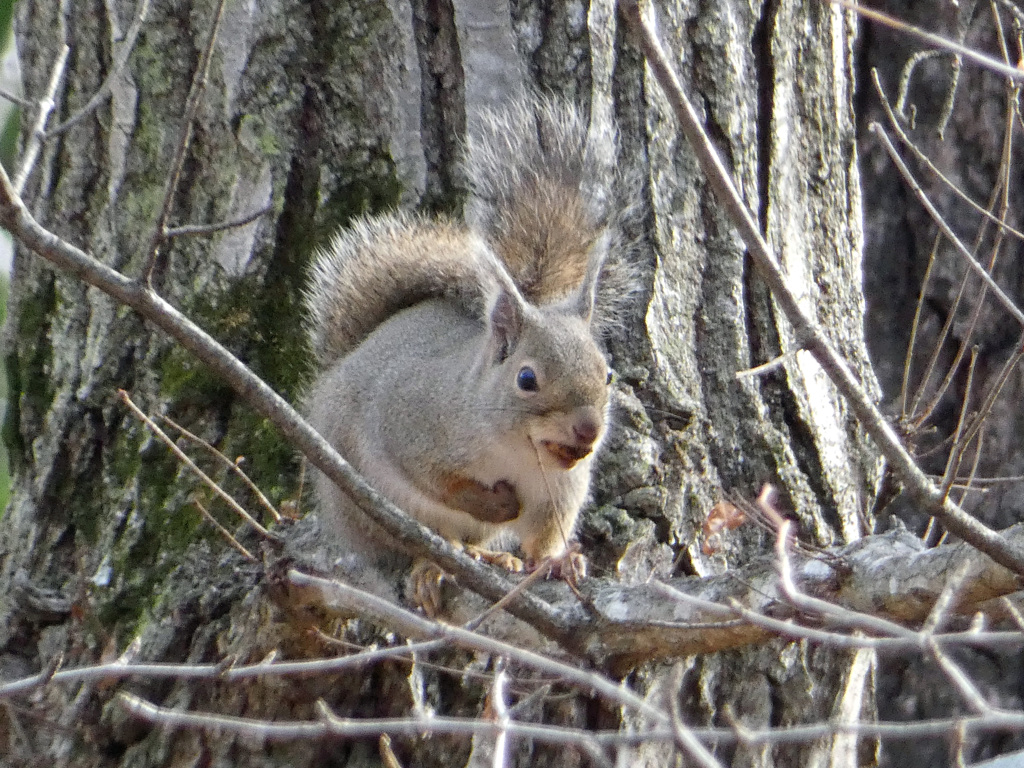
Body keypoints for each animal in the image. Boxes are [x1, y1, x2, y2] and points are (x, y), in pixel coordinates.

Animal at [299, 96, 626, 606]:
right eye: (526, 379)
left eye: (608, 375)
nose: (588, 430)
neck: (519, 451)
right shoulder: (411, 424)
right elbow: (441, 483)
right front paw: (497, 502)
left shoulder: (562, 489)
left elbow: (546, 535)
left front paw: (557, 561)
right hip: (368, 507)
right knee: (420, 543)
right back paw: (433, 565)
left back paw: (491, 555)